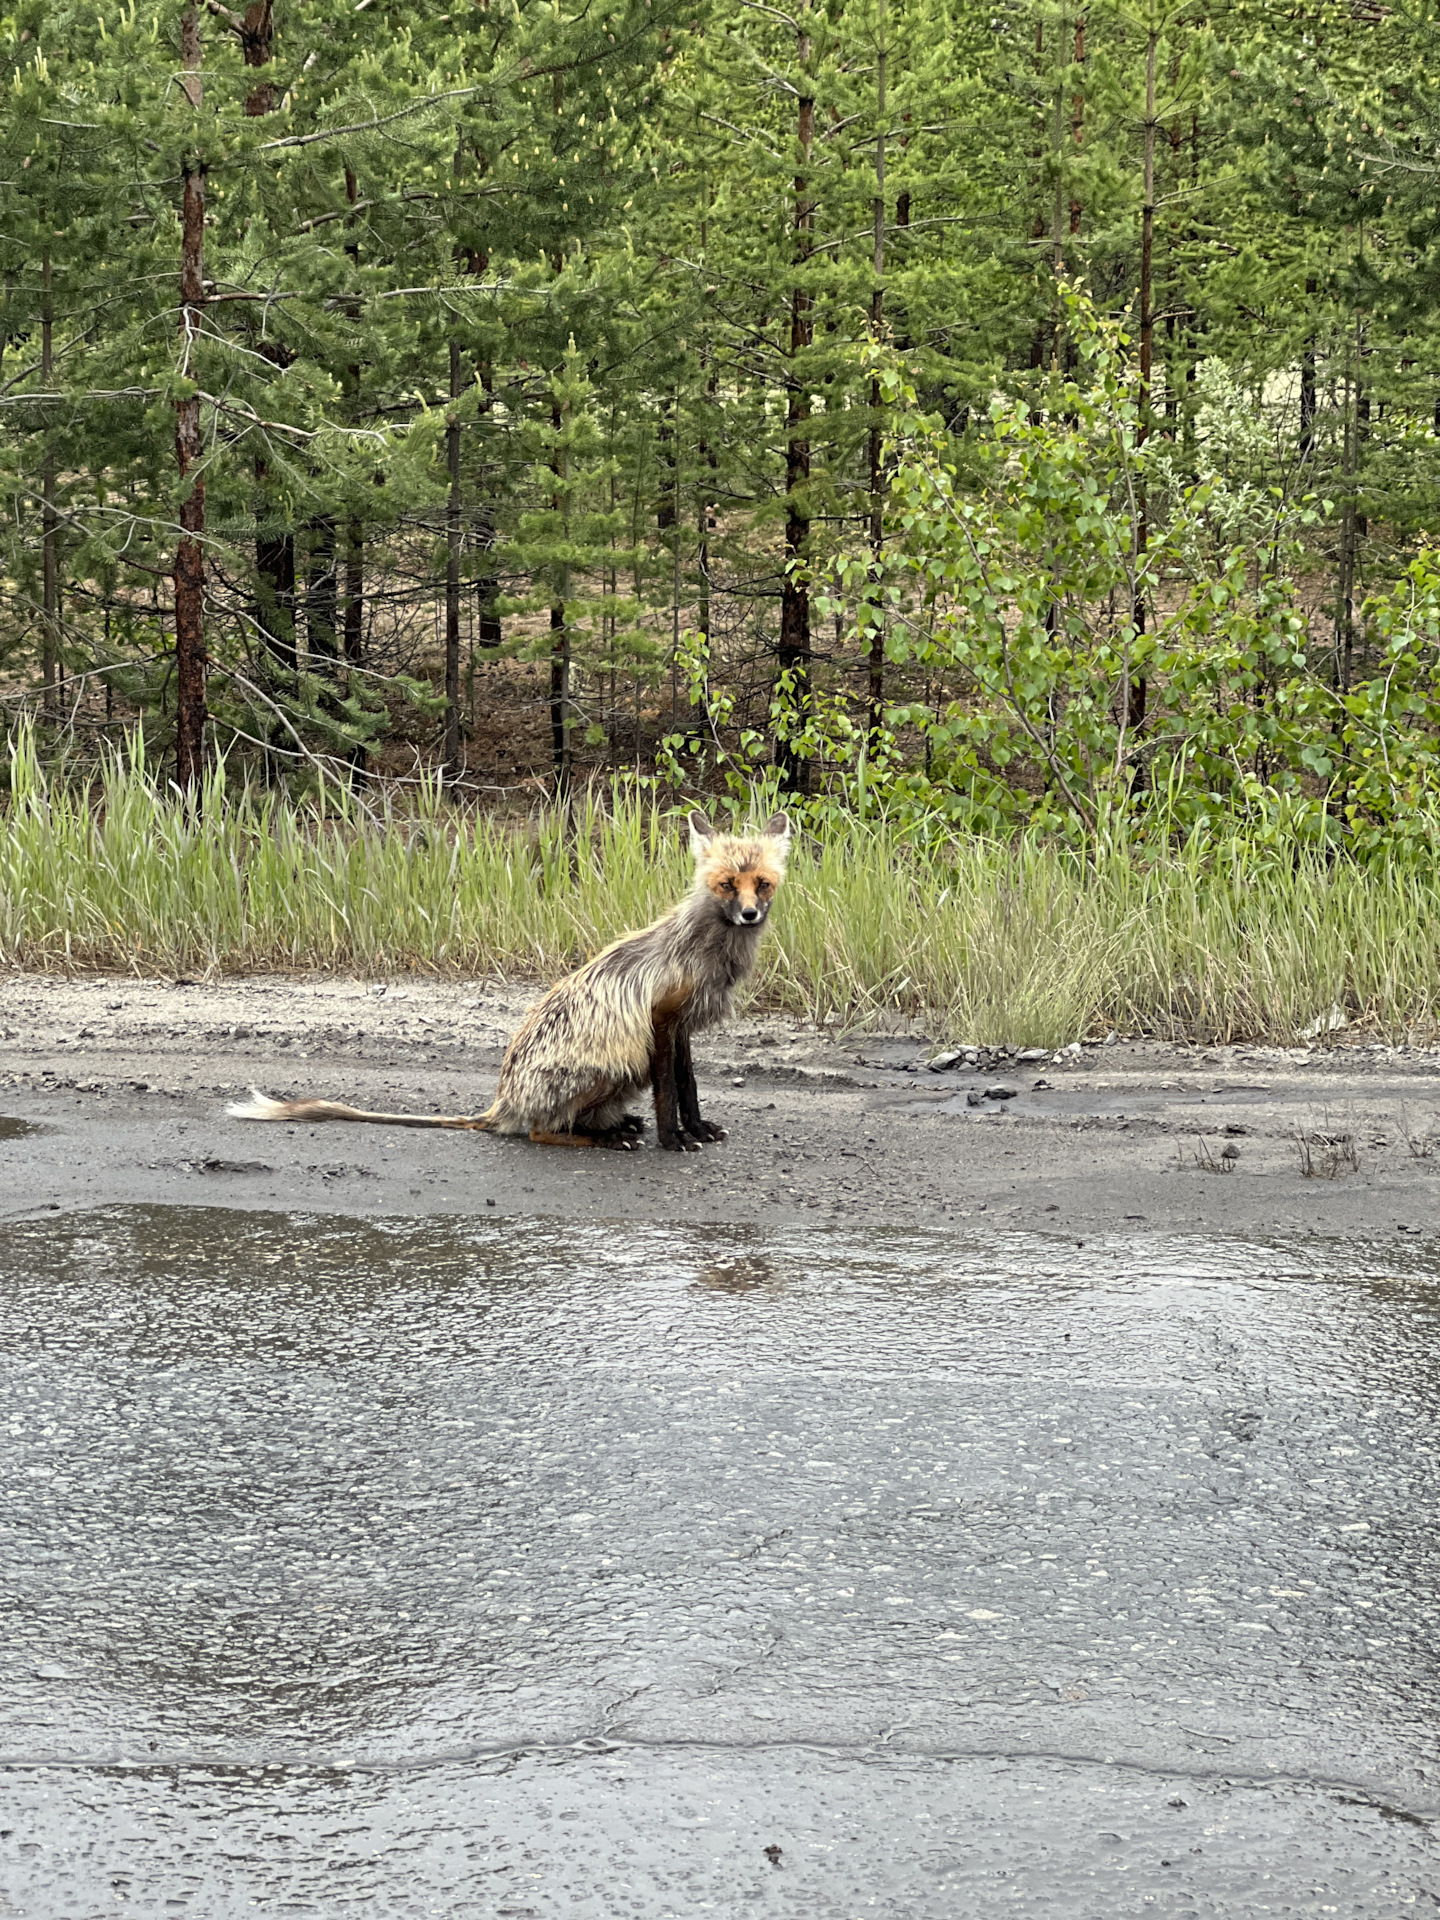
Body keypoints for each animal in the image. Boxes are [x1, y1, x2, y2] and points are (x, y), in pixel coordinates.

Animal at [228, 814, 791, 1152]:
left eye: (761, 884)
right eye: (727, 884)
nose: (748, 914)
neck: (704, 949)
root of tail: (503, 1101)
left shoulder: (682, 1027)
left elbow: (689, 1088)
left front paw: (696, 1129)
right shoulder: (661, 1022)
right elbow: (669, 1093)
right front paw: (673, 1140)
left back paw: (614, 1126)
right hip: (614, 1064)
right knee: (542, 1132)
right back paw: (605, 1138)